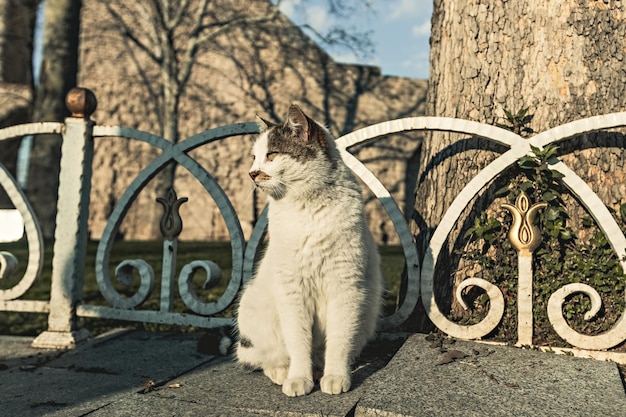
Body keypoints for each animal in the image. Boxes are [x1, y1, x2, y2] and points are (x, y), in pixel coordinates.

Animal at [234, 104, 380, 396]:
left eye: (271, 154)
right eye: (254, 157)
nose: (252, 173)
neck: (307, 208)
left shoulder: (346, 288)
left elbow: (339, 341)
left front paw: (335, 376)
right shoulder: (292, 290)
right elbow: (298, 341)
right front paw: (299, 379)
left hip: (368, 311)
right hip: (254, 310)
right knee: (265, 358)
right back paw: (282, 372)